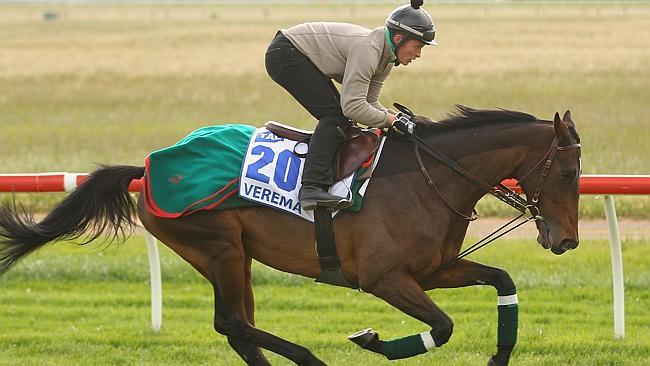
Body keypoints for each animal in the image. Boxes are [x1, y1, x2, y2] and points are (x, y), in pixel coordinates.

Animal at [0, 104, 580, 364]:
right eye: (569, 173)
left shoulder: (434, 270)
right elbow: (442, 326)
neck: (427, 177)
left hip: (234, 255)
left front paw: (500, 356)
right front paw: (371, 339)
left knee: (237, 328)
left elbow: (502, 280)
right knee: (233, 321)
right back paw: (308, 358)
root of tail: (148, 167)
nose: (567, 240)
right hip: (219, 246)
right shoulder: (383, 278)